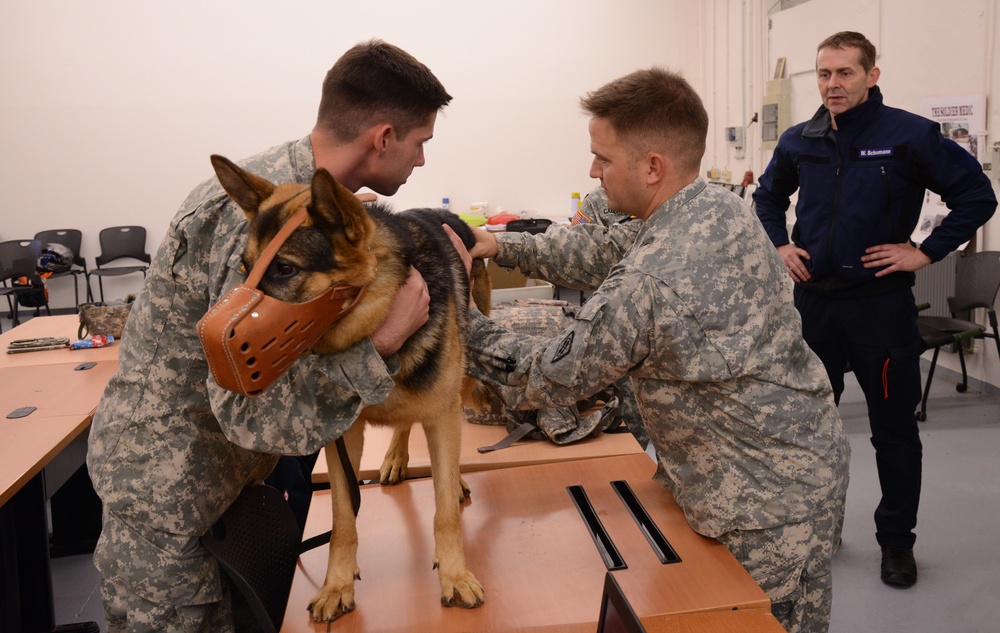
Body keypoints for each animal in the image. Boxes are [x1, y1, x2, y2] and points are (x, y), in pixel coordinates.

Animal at [213, 154, 490, 624]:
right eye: (246, 270)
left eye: (284, 268)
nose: (215, 347)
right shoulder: (342, 439)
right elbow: (343, 519)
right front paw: (337, 585)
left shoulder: (442, 415)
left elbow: (445, 515)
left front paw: (455, 575)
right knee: (405, 423)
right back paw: (396, 457)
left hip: (463, 380)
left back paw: (449, 481)